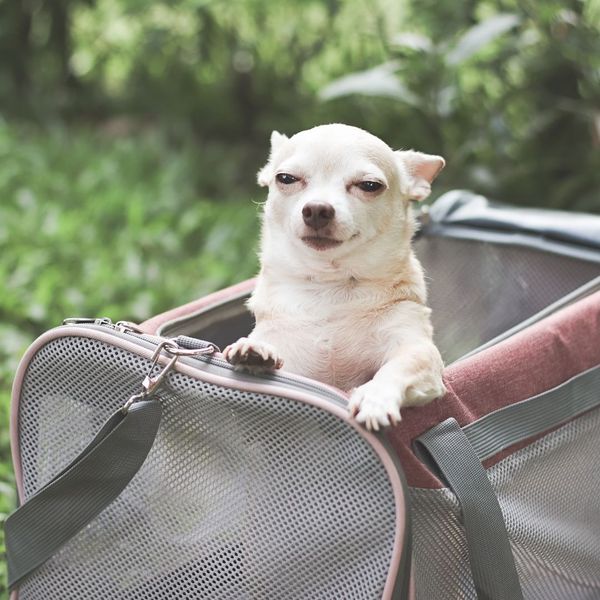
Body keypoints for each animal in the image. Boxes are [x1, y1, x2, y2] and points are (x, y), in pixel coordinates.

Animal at [225, 124, 446, 428]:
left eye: (370, 185)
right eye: (286, 179)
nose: (317, 208)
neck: (329, 286)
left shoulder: (418, 348)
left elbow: (401, 364)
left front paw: (375, 398)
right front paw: (253, 350)